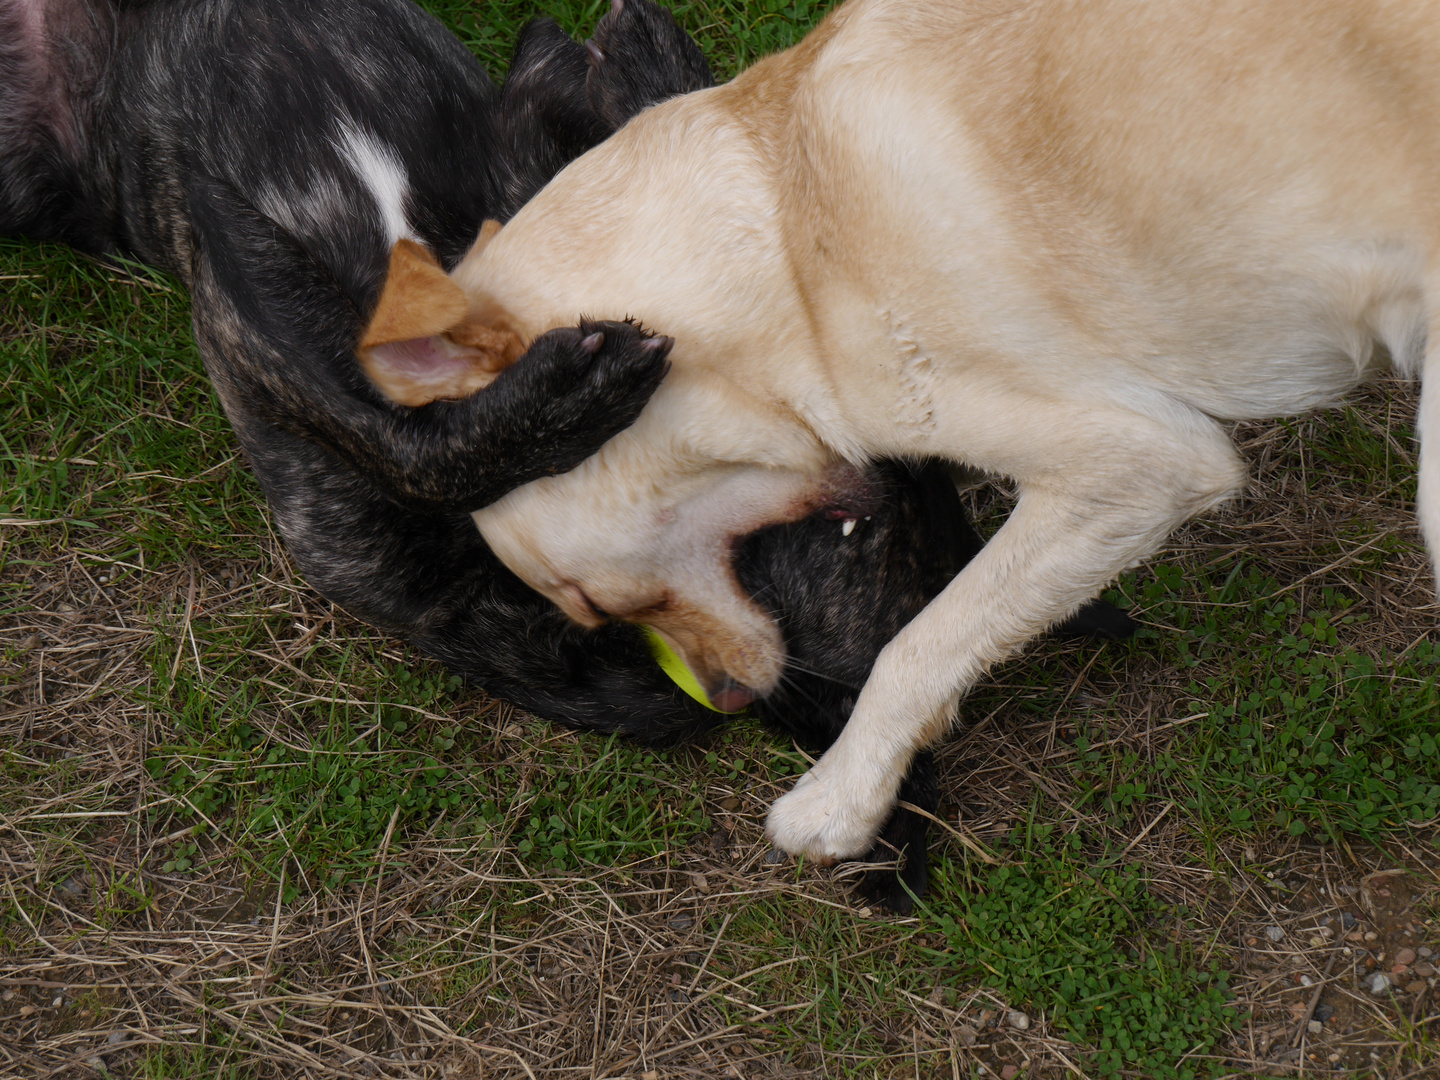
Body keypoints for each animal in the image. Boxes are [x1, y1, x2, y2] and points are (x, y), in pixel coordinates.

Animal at [368, 0, 1440, 864]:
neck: (782, 238)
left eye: (596, 604)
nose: (724, 702)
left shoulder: (1139, 465)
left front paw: (841, 803)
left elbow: (918, 648)